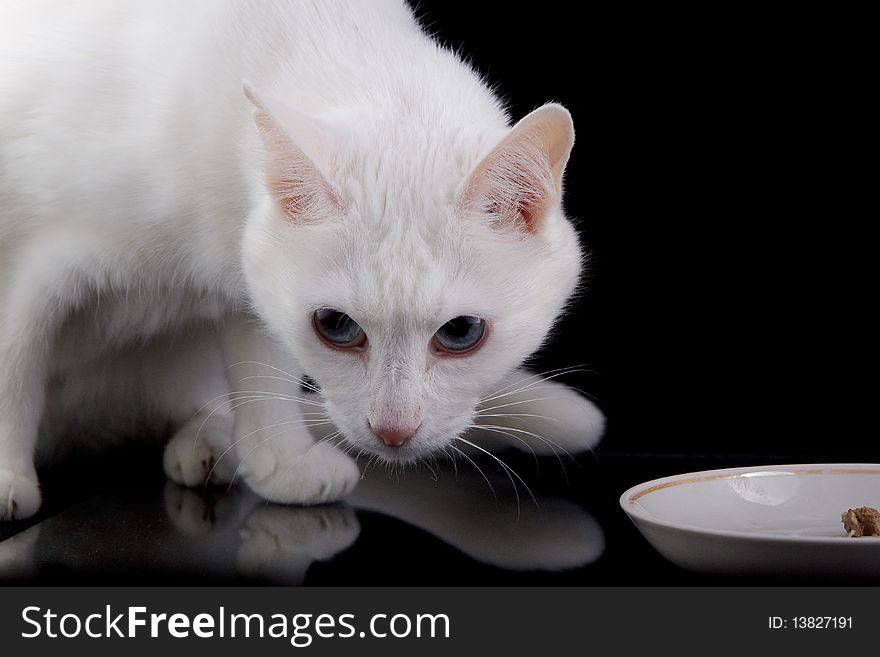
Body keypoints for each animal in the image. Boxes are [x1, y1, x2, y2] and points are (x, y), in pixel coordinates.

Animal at [0, 0, 604, 516]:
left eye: (461, 332)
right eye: (336, 325)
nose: (393, 432)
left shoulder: (247, 287)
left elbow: (262, 373)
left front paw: (278, 463)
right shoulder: (31, 274)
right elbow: (15, 370)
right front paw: (6, 478)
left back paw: (208, 440)